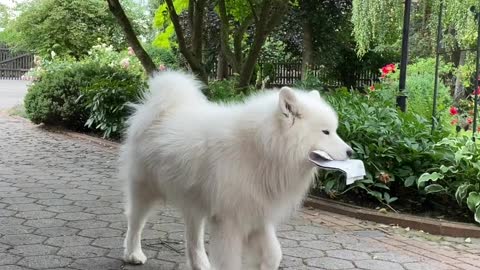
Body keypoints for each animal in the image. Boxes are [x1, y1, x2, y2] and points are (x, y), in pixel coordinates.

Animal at [120, 70, 352, 268]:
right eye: (326, 132)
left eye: (334, 130)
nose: (351, 152)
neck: (263, 148)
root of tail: (160, 110)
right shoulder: (229, 222)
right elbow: (230, 262)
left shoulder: (257, 214)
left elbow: (274, 254)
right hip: (144, 190)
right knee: (135, 222)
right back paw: (133, 254)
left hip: (194, 201)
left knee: (192, 237)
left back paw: (200, 264)